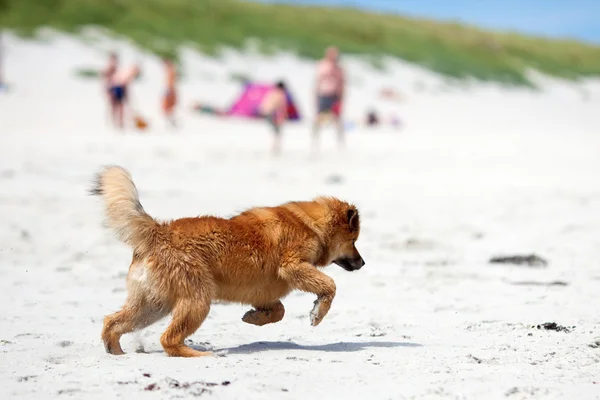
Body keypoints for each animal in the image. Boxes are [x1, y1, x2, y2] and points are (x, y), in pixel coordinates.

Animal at [92, 164, 366, 358]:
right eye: (354, 240)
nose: (362, 263)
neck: (311, 225)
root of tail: (159, 232)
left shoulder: (264, 291)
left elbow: (278, 311)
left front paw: (255, 318)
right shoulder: (292, 266)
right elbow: (329, 286)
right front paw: (318, 313)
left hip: (153, 304)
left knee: (112, 322)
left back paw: (115, 352)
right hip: (197, 300)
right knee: (168, 339)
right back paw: (200, 355)